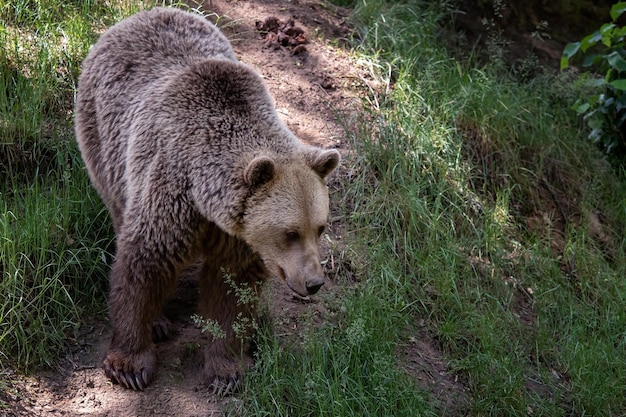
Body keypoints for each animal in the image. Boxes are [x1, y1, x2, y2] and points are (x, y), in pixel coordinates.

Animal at [75, 7, 338, 394]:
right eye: (289, 232)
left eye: (319, 228)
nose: (314, 282)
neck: (206, 199)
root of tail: (142, 14)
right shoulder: (171, 190)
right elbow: (143, 264)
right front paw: (129, 364)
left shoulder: (240, 232)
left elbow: (232, 291)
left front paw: (227, 370)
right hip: (105, 141)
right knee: (119, 208)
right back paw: (159, 322)